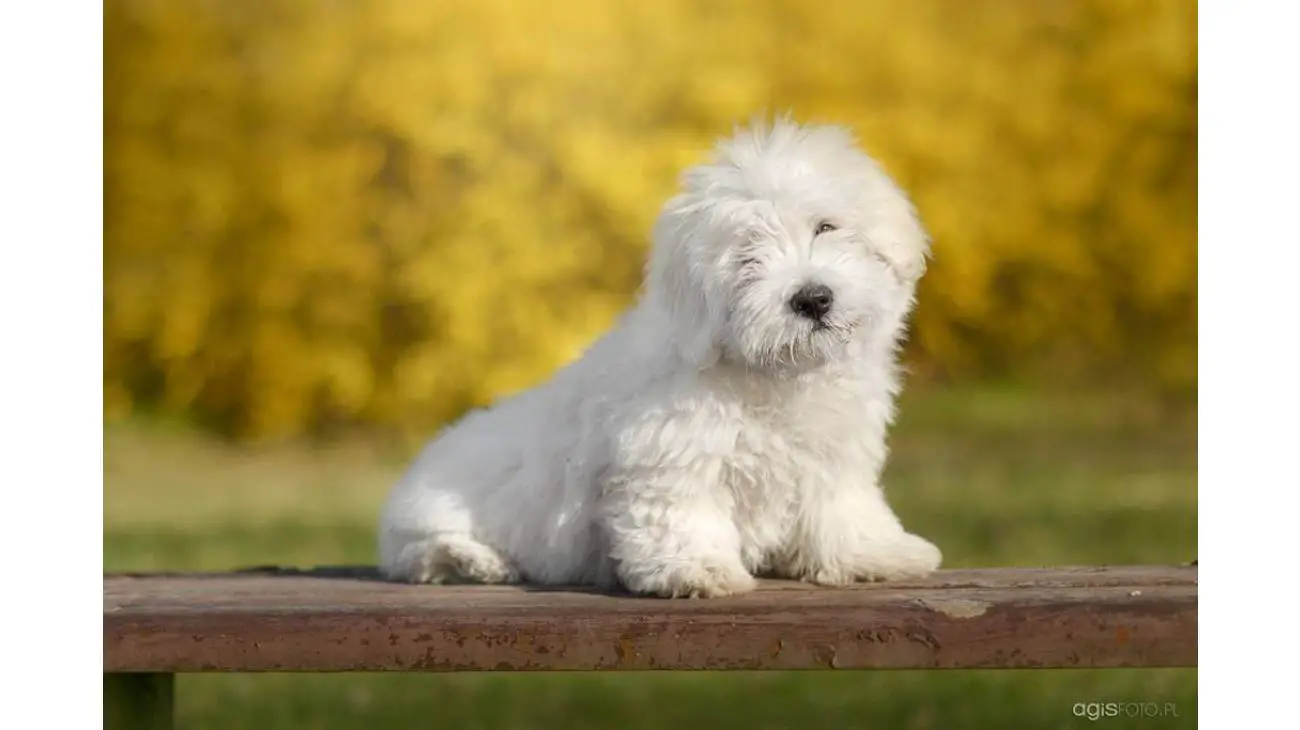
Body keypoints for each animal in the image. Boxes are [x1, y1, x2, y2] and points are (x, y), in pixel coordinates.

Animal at [377, 114, 946, 597]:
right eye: (748, 255)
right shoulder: (672, 452)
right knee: (421, 554)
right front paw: (699, 569)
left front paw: (875, 554)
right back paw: (477, 561)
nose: (812, 298)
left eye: (826, 227)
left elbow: (841, 508)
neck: (769, 374)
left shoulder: (834, 456)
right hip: (433, 512)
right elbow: (681, 513)